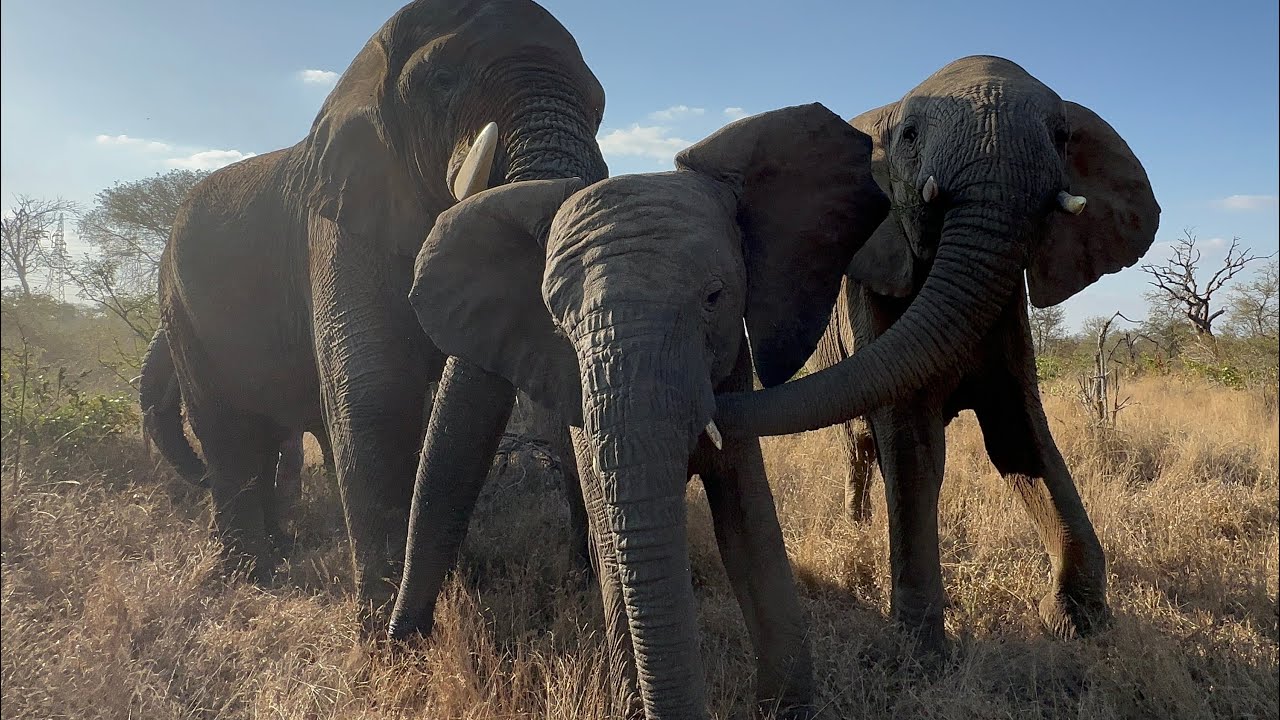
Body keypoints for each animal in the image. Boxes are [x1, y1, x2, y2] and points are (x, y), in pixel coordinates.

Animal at [138, 0, 607, 603]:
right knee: (227, 431)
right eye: (442, 81)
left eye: (598, 108)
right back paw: (251, 576)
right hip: (180, 307)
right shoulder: (340, 218)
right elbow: (375, 391)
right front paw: (385, 626)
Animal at [386, 104, 890, 719]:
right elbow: (618, 543)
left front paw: (787, 709)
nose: (397, 646)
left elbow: (749, 522)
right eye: (557, 322)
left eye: (714, 298)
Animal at [714, 55, 1161, 655]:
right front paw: (920, 653)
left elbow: (1019, 433)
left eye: (1062, 137)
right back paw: (856, 527)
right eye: (909, 136)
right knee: (860, 445)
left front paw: (1079, 622)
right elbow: (912, 442)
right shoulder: (871, 290)